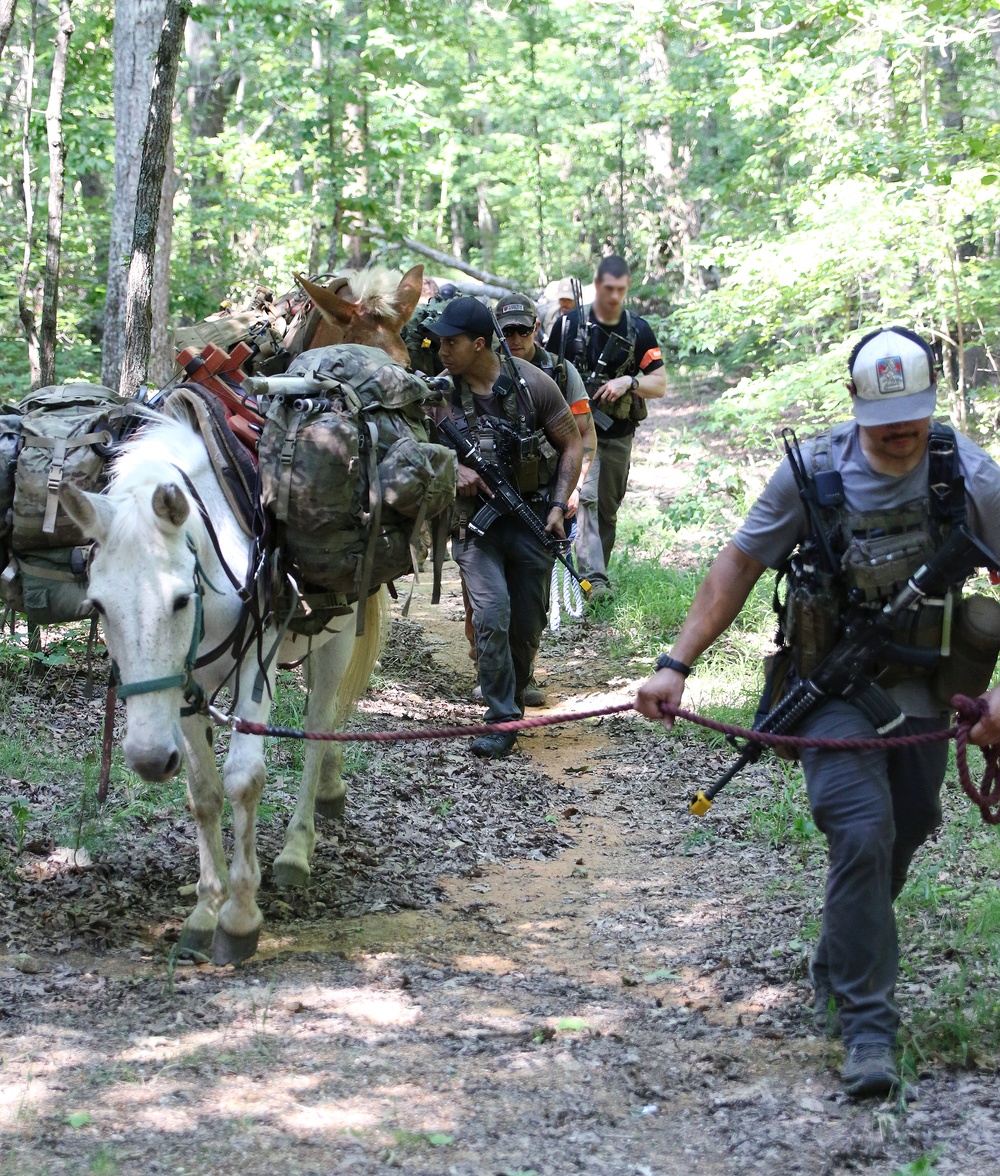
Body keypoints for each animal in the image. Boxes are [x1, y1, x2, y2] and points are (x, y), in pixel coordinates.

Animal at [59, 418, 385, 969]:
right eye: (98, 606)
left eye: (179, 599)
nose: (148, 758)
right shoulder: (181, 690)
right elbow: (204, 794)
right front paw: (205, 911)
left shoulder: (257, 662)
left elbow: (244, 779)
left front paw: (240, 916)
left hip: (336, 638)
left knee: (319, 726)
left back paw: (297, 849)